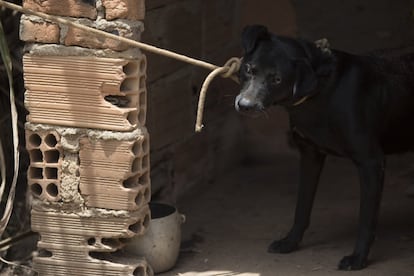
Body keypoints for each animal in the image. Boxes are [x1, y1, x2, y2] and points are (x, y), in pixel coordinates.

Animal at [234, 24, 414, 270]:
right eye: (249, 69)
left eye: (277, 79)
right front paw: (290, 242)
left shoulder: (371, 162)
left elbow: (366, 219)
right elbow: (302, 207)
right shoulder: (310, 155)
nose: (245, 106)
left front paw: (358, 258)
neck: (321, 90)